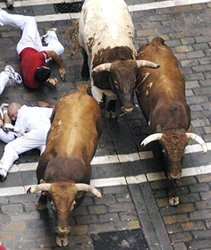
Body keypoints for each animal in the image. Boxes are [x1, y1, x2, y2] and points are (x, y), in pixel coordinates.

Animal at [27, 84, 102, 246]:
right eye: (53, 206)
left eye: (72, 205)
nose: (62, 230)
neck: (65, 170)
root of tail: (81, 91)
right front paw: (41, 203)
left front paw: (62, 237)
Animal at [135, 36, 208, 205]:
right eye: (164, 151)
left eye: (184, 150)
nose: (176, 175)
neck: (172, 122)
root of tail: (155, 41)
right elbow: (165, 170)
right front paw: (172, 194)